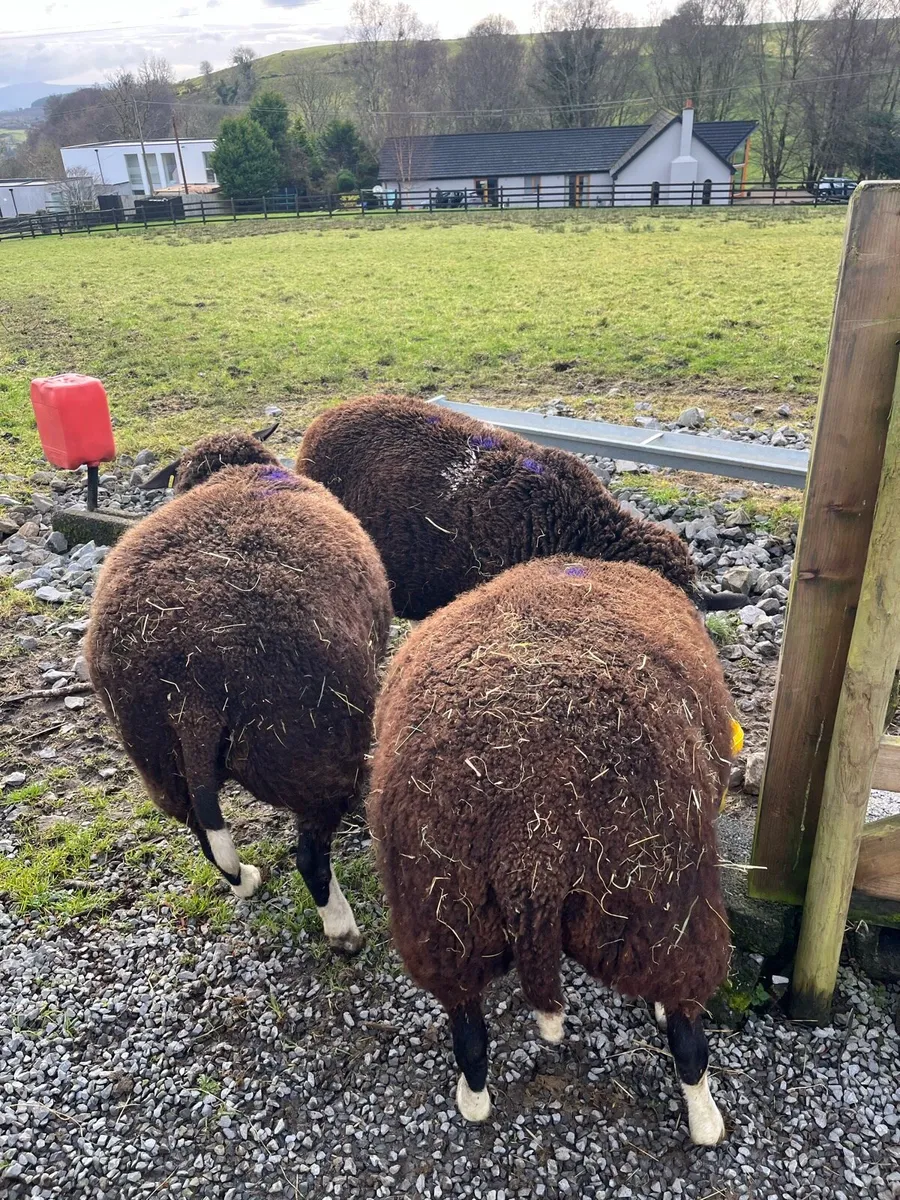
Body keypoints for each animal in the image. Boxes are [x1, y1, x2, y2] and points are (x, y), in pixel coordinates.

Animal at [87, 431, 393, 952]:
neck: (232, 473)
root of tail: (189, 691)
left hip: (158, 762)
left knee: (204, 834)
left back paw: (245, 880)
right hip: (312, 754)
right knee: (310, 857)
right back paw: (342, 930)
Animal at [367, 557, 735, 1144]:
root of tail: (533, 840)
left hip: (445, 919)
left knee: (468, 1031)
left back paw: (473, 1101)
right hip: (664, 904)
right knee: (688, 1035)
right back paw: (706, 1122)